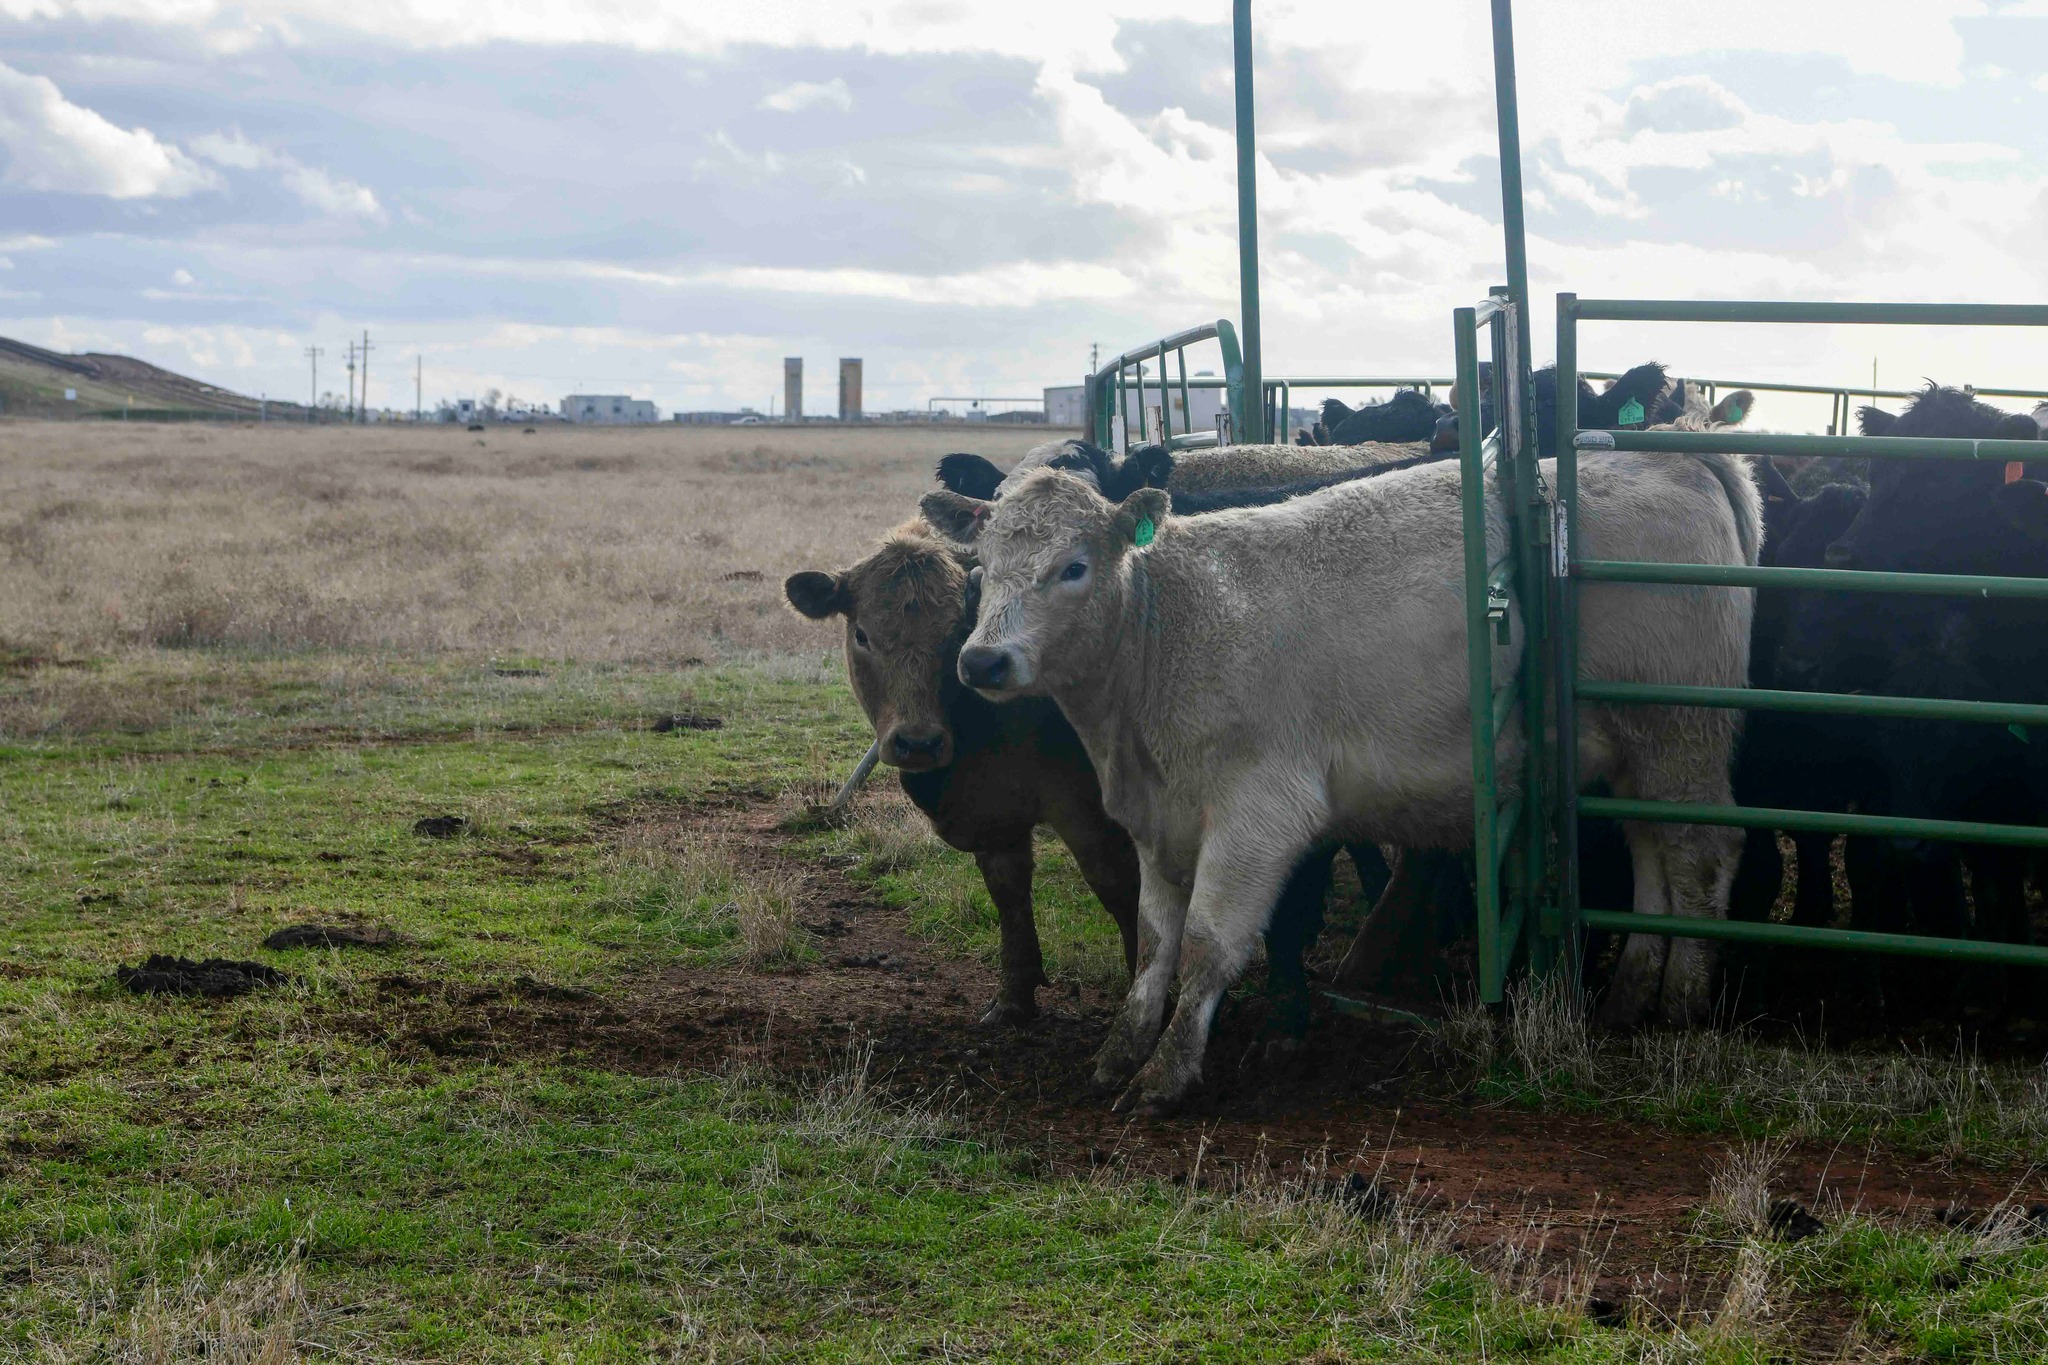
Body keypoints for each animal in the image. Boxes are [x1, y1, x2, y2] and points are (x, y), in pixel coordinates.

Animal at [921, 438, 1760, 1113]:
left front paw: (1167, 1075)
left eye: (1073, 567)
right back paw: (1628, 993)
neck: (1166, 631)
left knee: (1704, 854)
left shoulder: (1258, 815)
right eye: (983, 567)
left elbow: (1208, 944)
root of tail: (1678, 455)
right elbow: (1156, 942)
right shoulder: (1157, 820)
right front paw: (1119, 1053)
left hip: (1680, 729)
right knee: (1654, 851)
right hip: (1632, 750)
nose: (982, 660)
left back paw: (1681, 1003)